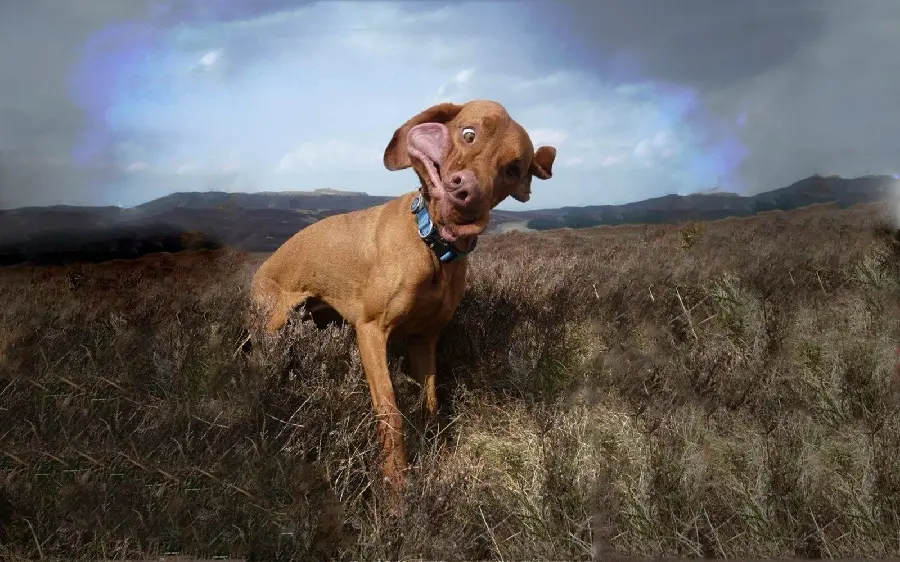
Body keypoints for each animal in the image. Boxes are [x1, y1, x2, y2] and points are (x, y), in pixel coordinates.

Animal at [251, 99, 556, 490]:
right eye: (468, 133)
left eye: (513, 168)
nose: (466, 194)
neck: (432, 246)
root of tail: (261, 268)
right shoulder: (370, 331)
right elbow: (390, 411)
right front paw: (395, 482)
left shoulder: (423, 339)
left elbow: (430, 403)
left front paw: (433, 452)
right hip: (271, 328)